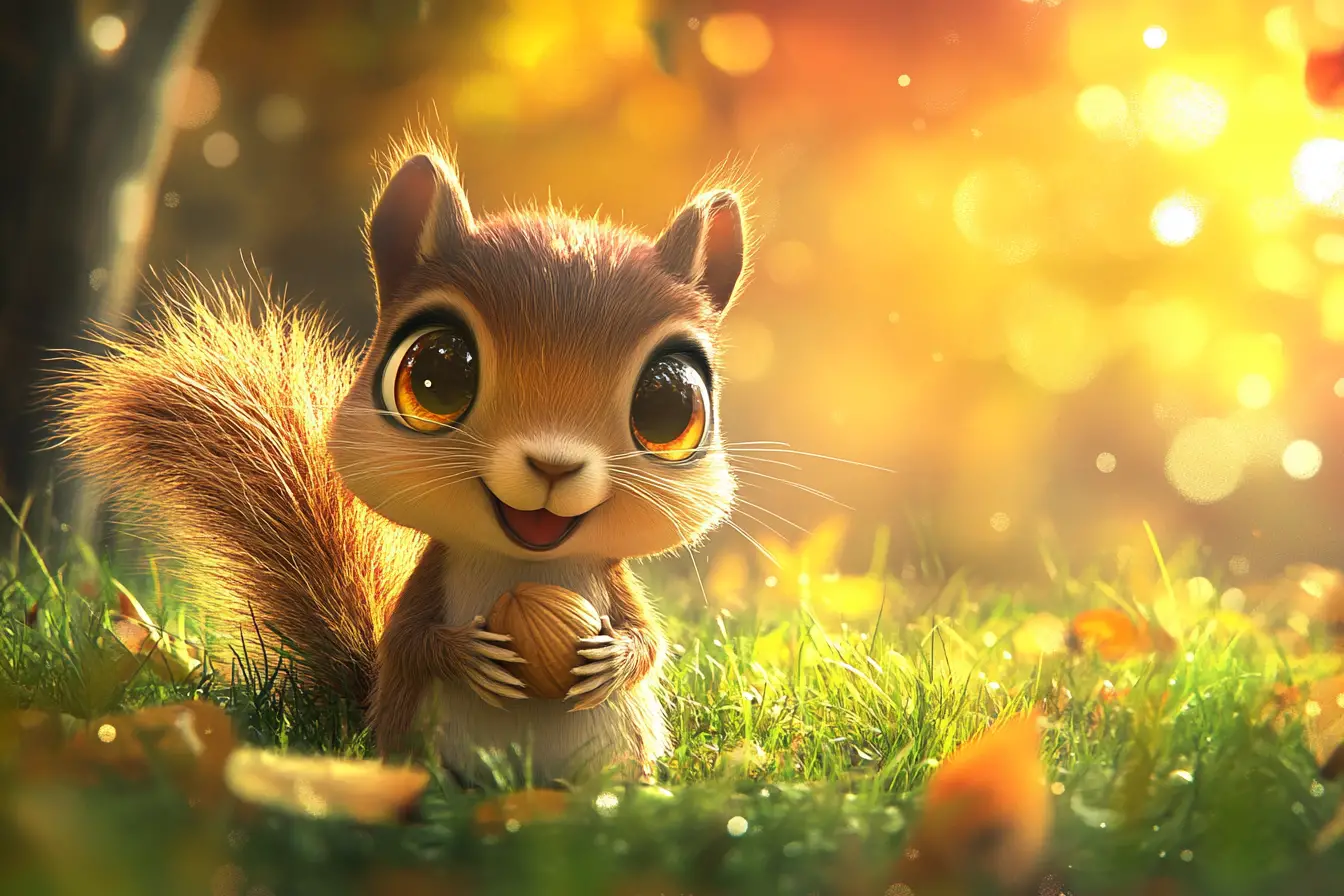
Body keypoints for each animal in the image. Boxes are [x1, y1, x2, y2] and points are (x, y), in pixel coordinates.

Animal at [51, 133, 751, 786]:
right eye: (437, 374)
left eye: (670, 405)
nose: (554, 466)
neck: (527, 563)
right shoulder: (427, 586)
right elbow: (409, 642)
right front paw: (466, 653)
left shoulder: (616, 583)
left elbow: (652, 638)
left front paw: (617, 656)